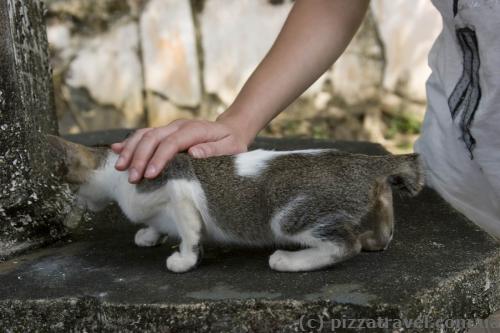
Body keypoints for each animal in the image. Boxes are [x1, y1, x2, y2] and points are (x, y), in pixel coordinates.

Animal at [47, 135, 424, 272]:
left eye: (71, 186)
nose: (73, 208)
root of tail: (362, 162)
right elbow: (156, 223)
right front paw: (150, 234)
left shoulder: (178, 186)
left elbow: (190, 230)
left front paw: (184, 258)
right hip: (370, 199)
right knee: (382, 208)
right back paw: (376, 236)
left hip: (289, 216)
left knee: (343, 245)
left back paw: (288, 260)